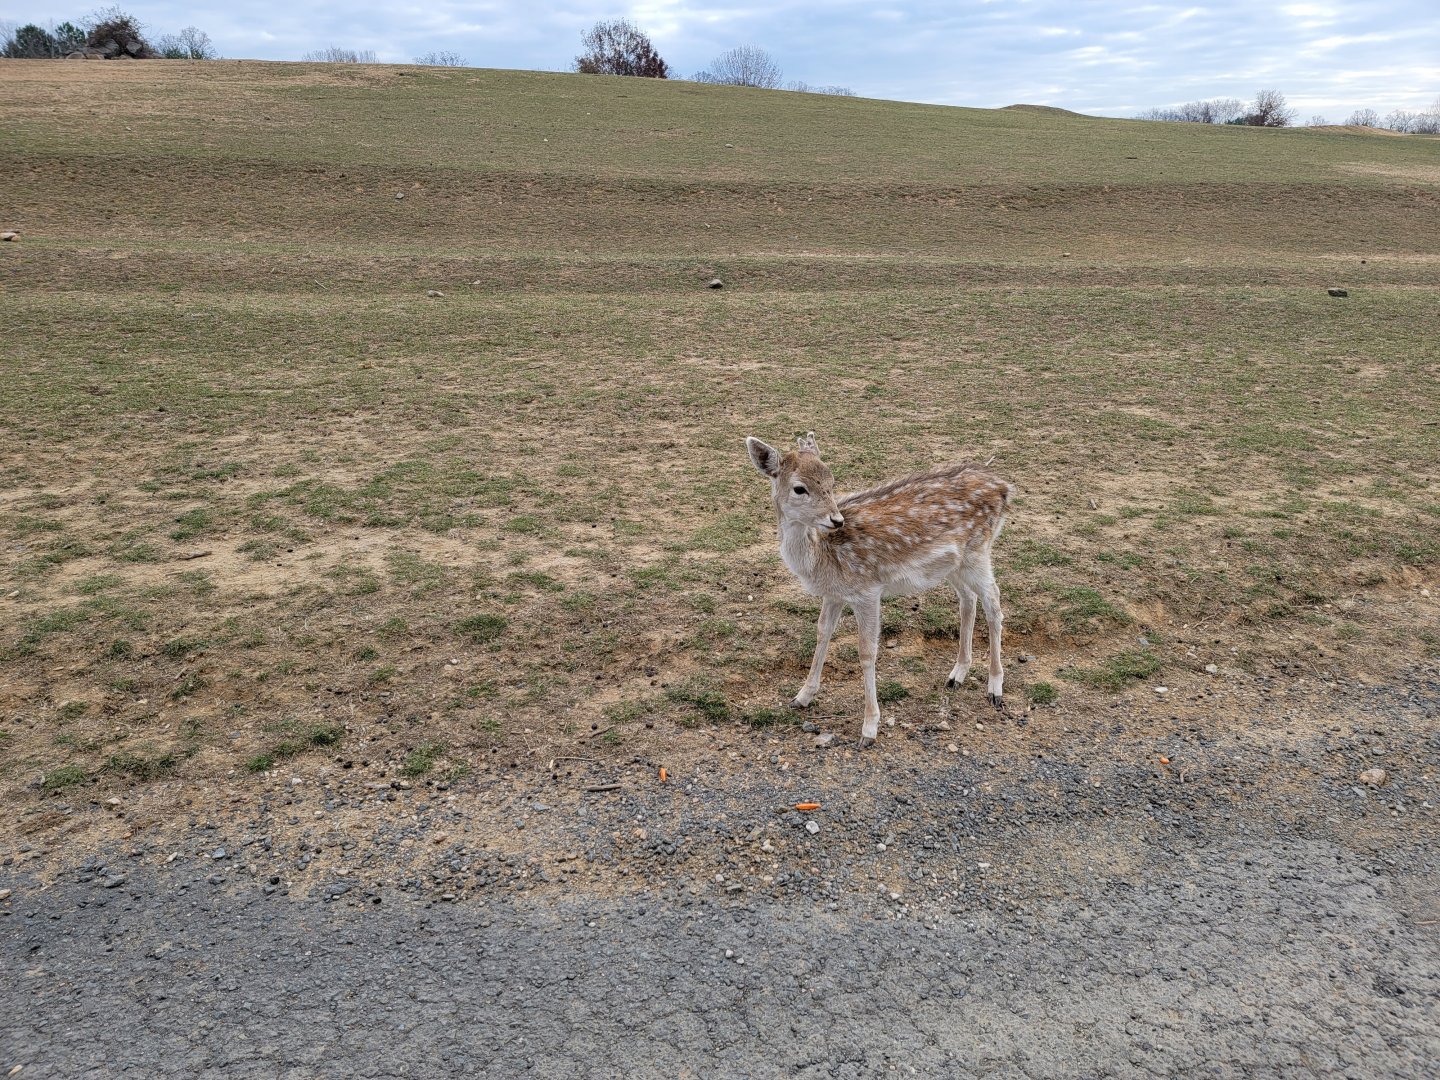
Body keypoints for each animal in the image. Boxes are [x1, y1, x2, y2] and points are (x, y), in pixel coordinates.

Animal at [746, 431, 1011, 746]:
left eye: (831, 481)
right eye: (800, 488)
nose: (836, 519)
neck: (821, 558)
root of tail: (1005, 487)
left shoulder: (867, 590)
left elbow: (867, 651)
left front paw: (869, 728)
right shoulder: (834, 594)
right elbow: (822, 633)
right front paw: (802, 697)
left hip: (978, 551)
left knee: (994, 602)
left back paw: (995, 688)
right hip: (952, 564)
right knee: (968, 598)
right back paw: (957, 674)